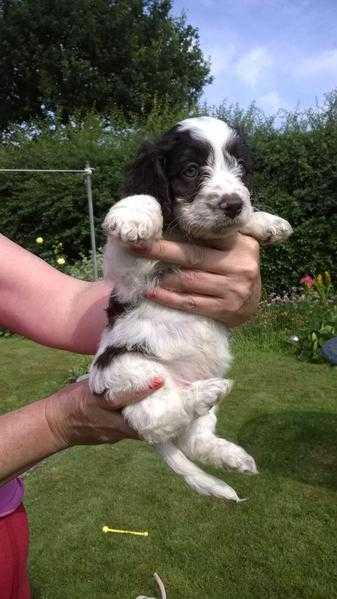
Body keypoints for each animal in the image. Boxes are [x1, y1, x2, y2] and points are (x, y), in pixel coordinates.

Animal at [89, 117, 292, 502]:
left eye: (240, 168)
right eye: (191, 170)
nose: (232, 204)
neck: (189, 235)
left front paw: (267, 222)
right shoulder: (127, 273)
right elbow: (145, 203)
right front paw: (134, 216)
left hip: (192, 406)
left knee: (192, 438)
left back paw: (231, 457)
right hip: (131, 368)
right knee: (154, 420)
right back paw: (202, 395)